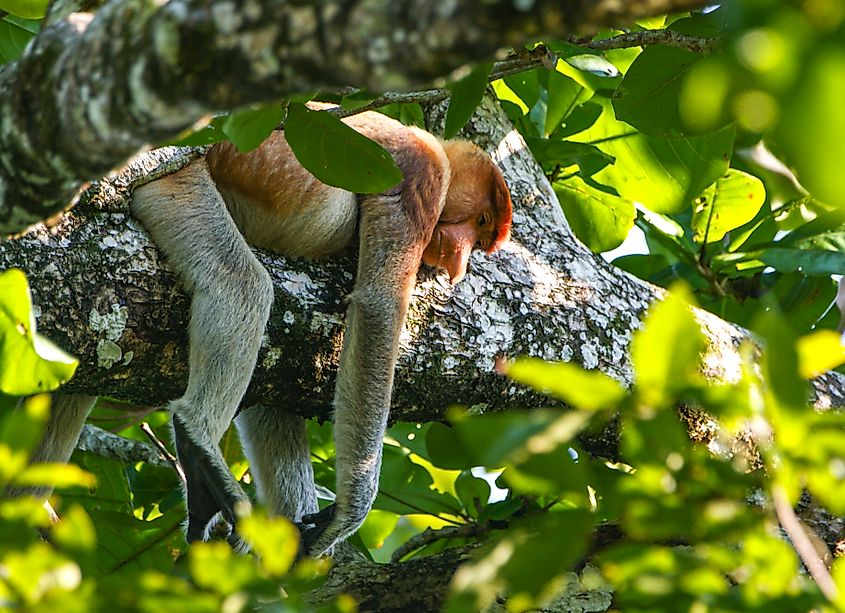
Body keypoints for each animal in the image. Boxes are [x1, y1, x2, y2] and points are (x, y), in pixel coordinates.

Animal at [19, 105, 512, 557]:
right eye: (483, 221)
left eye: (482, 237)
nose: (458, 262)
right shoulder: (419, 175)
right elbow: (377, 307)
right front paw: (347, 514)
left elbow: (273, 398)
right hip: (173, 178)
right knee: (240, 285)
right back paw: (197, 441)